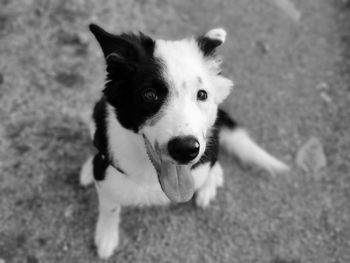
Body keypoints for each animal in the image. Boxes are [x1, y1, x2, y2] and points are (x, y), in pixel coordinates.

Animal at [80, 24, 288, 260]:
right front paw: (106, 236)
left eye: (202, 94)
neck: (151, 176)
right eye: (149, 94)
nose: (186, 149)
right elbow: (110, 208)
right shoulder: (106, 178)